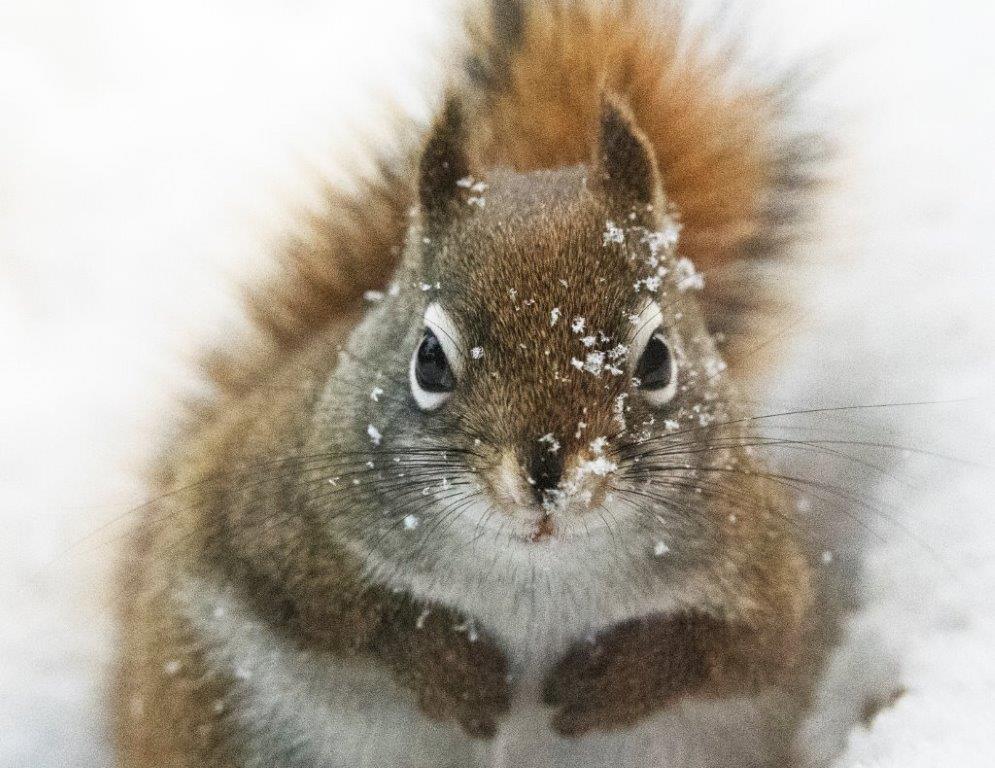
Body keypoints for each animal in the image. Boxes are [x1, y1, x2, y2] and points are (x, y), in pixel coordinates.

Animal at [113, 1, 825, 766]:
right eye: (428, 359)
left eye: (658, 360)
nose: (547, 473)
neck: (537, 573)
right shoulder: (264, 521)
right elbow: (351, 613)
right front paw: (457, 668)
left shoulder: (760, 569)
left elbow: (742, 647)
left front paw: (610, 677)